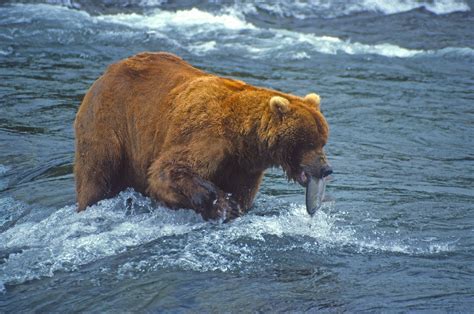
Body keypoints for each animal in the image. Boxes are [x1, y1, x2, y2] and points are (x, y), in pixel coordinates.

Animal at [75, 51, 334, 221]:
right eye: (309, 142)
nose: (326, 169)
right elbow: (167, 171)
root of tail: (107, 72)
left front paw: (235, 207)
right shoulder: (205, 135)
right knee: (97, 174)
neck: (242, 139)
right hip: (110, 123)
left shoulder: (244, 167)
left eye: (323, 140)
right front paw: (222, 204)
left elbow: (243, 193)